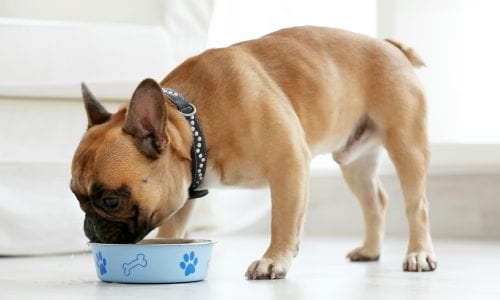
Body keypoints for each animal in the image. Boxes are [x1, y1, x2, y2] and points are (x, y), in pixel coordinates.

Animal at [70, 26, 438, 278]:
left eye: (111, 201)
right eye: (76, 197)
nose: (88, 230)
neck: (196, 123)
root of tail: (391, 46)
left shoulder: (289, 165)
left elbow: (283, 221)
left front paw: (273, 260)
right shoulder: (181, 190)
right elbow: (172, 227)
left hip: (407, 144)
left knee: (417, 205)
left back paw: (419, 254)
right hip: (355, 162)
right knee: (376, 201)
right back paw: (371, 251)